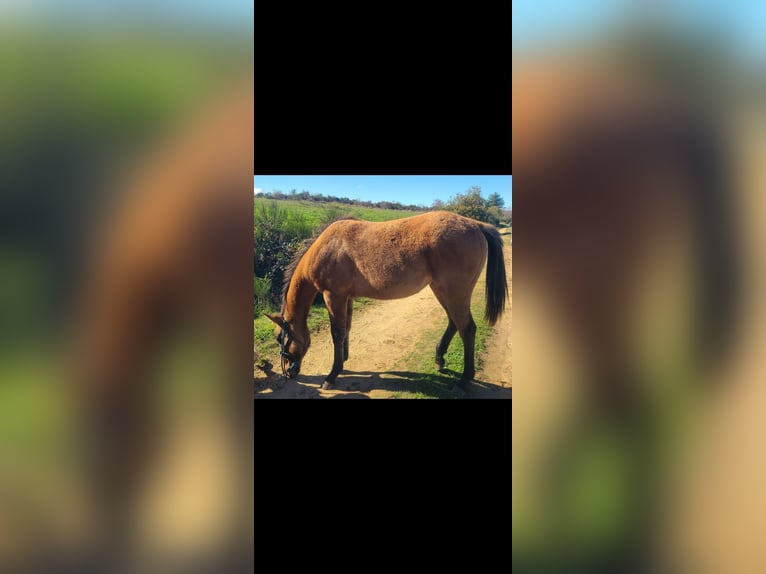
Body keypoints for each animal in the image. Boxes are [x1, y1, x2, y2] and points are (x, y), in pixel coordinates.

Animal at [264, 210, 509, 396]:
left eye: (279, 338)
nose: (288, 373)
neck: (328, 246)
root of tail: (476, 225)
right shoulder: (346, 297)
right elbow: (346, 329)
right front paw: (343, 360)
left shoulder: (333, 296)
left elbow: (337, 333)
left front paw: (332, 375)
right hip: (442, 290)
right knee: (453, 322)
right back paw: (440, 359)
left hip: (453, 292)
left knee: (467, 329)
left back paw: (464, 380)